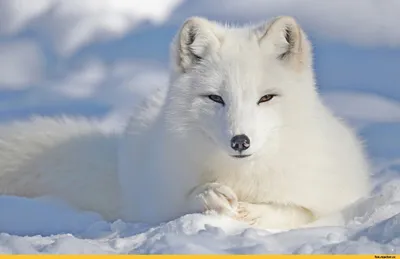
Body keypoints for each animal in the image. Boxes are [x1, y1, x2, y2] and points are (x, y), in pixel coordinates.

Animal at [0, 16, 370, 232]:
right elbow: (182, 202)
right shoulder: (160, 203)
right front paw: (210, 195)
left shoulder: (331, 198)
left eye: (266, 98)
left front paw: (255, 214)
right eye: (215, 98)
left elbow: (299, 211)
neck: (241, 178)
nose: (240, 141)